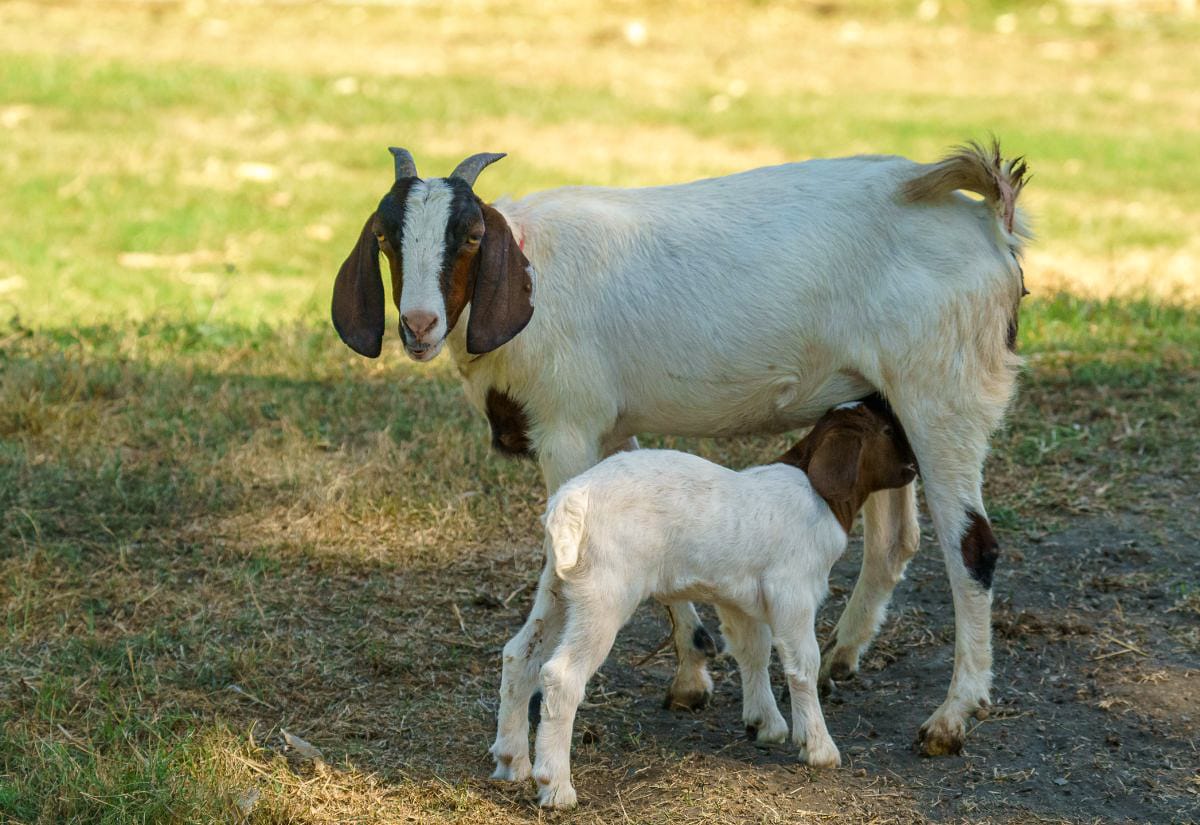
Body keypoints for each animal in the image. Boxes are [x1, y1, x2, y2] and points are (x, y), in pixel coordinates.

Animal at [331, 141, 1029, 755]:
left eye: (473, 236)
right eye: (386, 238)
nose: (418, 325)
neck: (534, 268)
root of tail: (987, 221)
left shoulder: (567, 427)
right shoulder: (614, 428)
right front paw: (693, 671)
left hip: (944, 394)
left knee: (973, 549)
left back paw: (951, 718)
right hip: (888, 400)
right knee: (894, 541)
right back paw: (840, 658)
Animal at [491, 399, 919, 808]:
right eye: (886, 430)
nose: (914, 467)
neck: (820, 496)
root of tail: (569, 503)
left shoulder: (741, 599)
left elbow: (753, 651)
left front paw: (766, 724)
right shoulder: (791, 592)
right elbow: (803, 665)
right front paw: (818, 747)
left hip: (559, 588)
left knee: (519, 655)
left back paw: (512, 762)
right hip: (604, 594)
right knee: (561, 676)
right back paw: (556, 788)